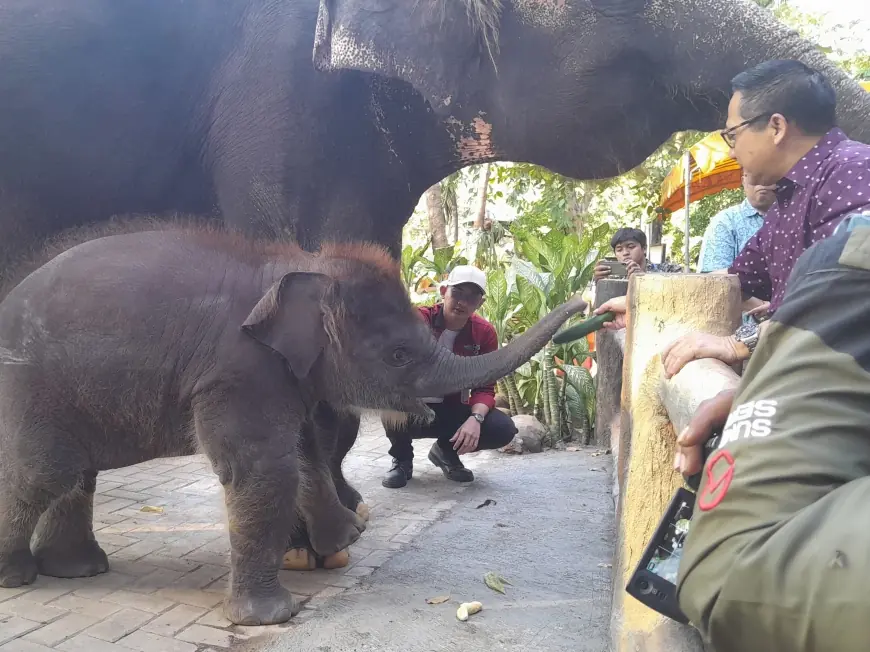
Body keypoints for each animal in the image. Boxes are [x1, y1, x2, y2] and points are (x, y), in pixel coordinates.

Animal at [0, 225, 588, 628]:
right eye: (399, 354)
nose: (586, 301)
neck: (304, 265)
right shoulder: (240, 367)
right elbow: (265, 468)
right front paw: (271, 616)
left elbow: (308, 448)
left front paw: (345, 538)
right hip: (30, 383)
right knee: (44, 471)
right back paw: (17, 576)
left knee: (76, 472)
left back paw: (76, 570)